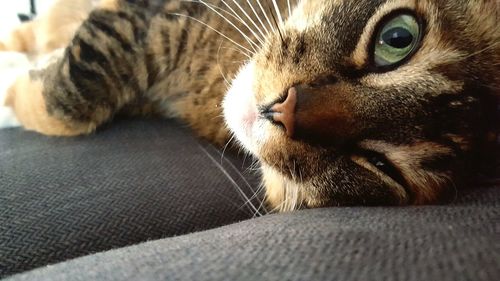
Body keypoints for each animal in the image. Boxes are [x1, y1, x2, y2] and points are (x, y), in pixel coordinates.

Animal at [1, 0, 498, 210]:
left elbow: (67, 98)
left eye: (380, 165)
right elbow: (73, 90)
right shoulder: (146, 13)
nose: (284, 111)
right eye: (398, 37)